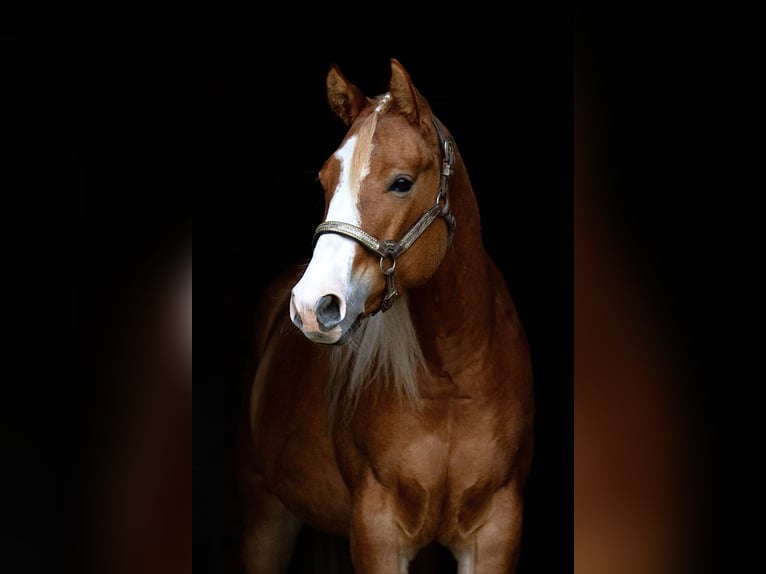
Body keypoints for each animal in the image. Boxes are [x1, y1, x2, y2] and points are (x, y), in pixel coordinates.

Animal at [237, 59, 534, 573]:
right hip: (263, 513)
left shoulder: (496, 532)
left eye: (401, 182)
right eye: (324, 180)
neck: (451, 380)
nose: (313, 305)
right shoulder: (378, 533)